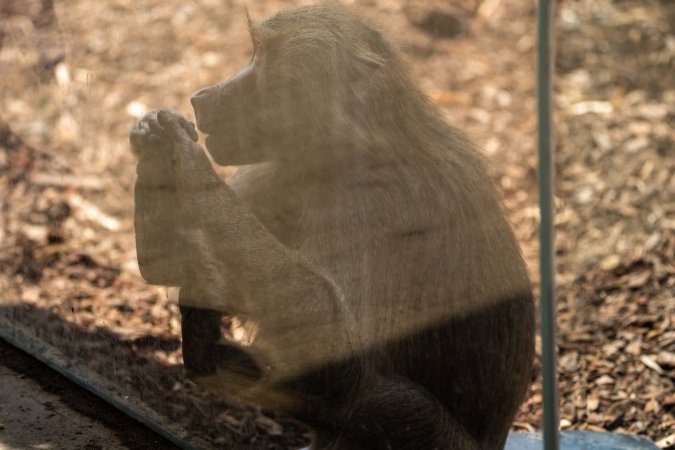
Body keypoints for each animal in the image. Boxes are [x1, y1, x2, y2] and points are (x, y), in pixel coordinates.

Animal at [130, 3, 535, 449]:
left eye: (262, 56)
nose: (201, 97)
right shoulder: (281, 170)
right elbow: (166, 264)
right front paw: (153, 140)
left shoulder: (377, 204)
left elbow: (343, 358)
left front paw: (185, 155)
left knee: (383, 400)